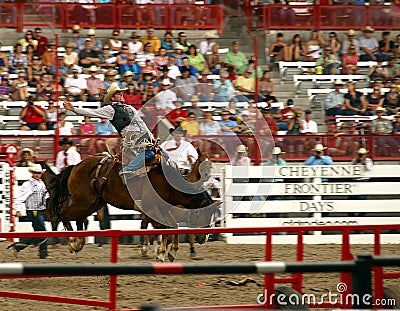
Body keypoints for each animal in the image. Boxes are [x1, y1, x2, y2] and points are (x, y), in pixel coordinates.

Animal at [41, 155, 219, 262]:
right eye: (205, 216)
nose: (205, 238)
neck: (168, 183)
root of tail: (76, 166)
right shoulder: (153, 209)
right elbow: (166, 228)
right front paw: (161, 253)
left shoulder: (163, 210)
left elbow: (172, 227)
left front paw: (169, 252)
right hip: (83, 201)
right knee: (64, 214)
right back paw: (72, 242)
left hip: (94, 203)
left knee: (79, 219)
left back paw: (78, 242)